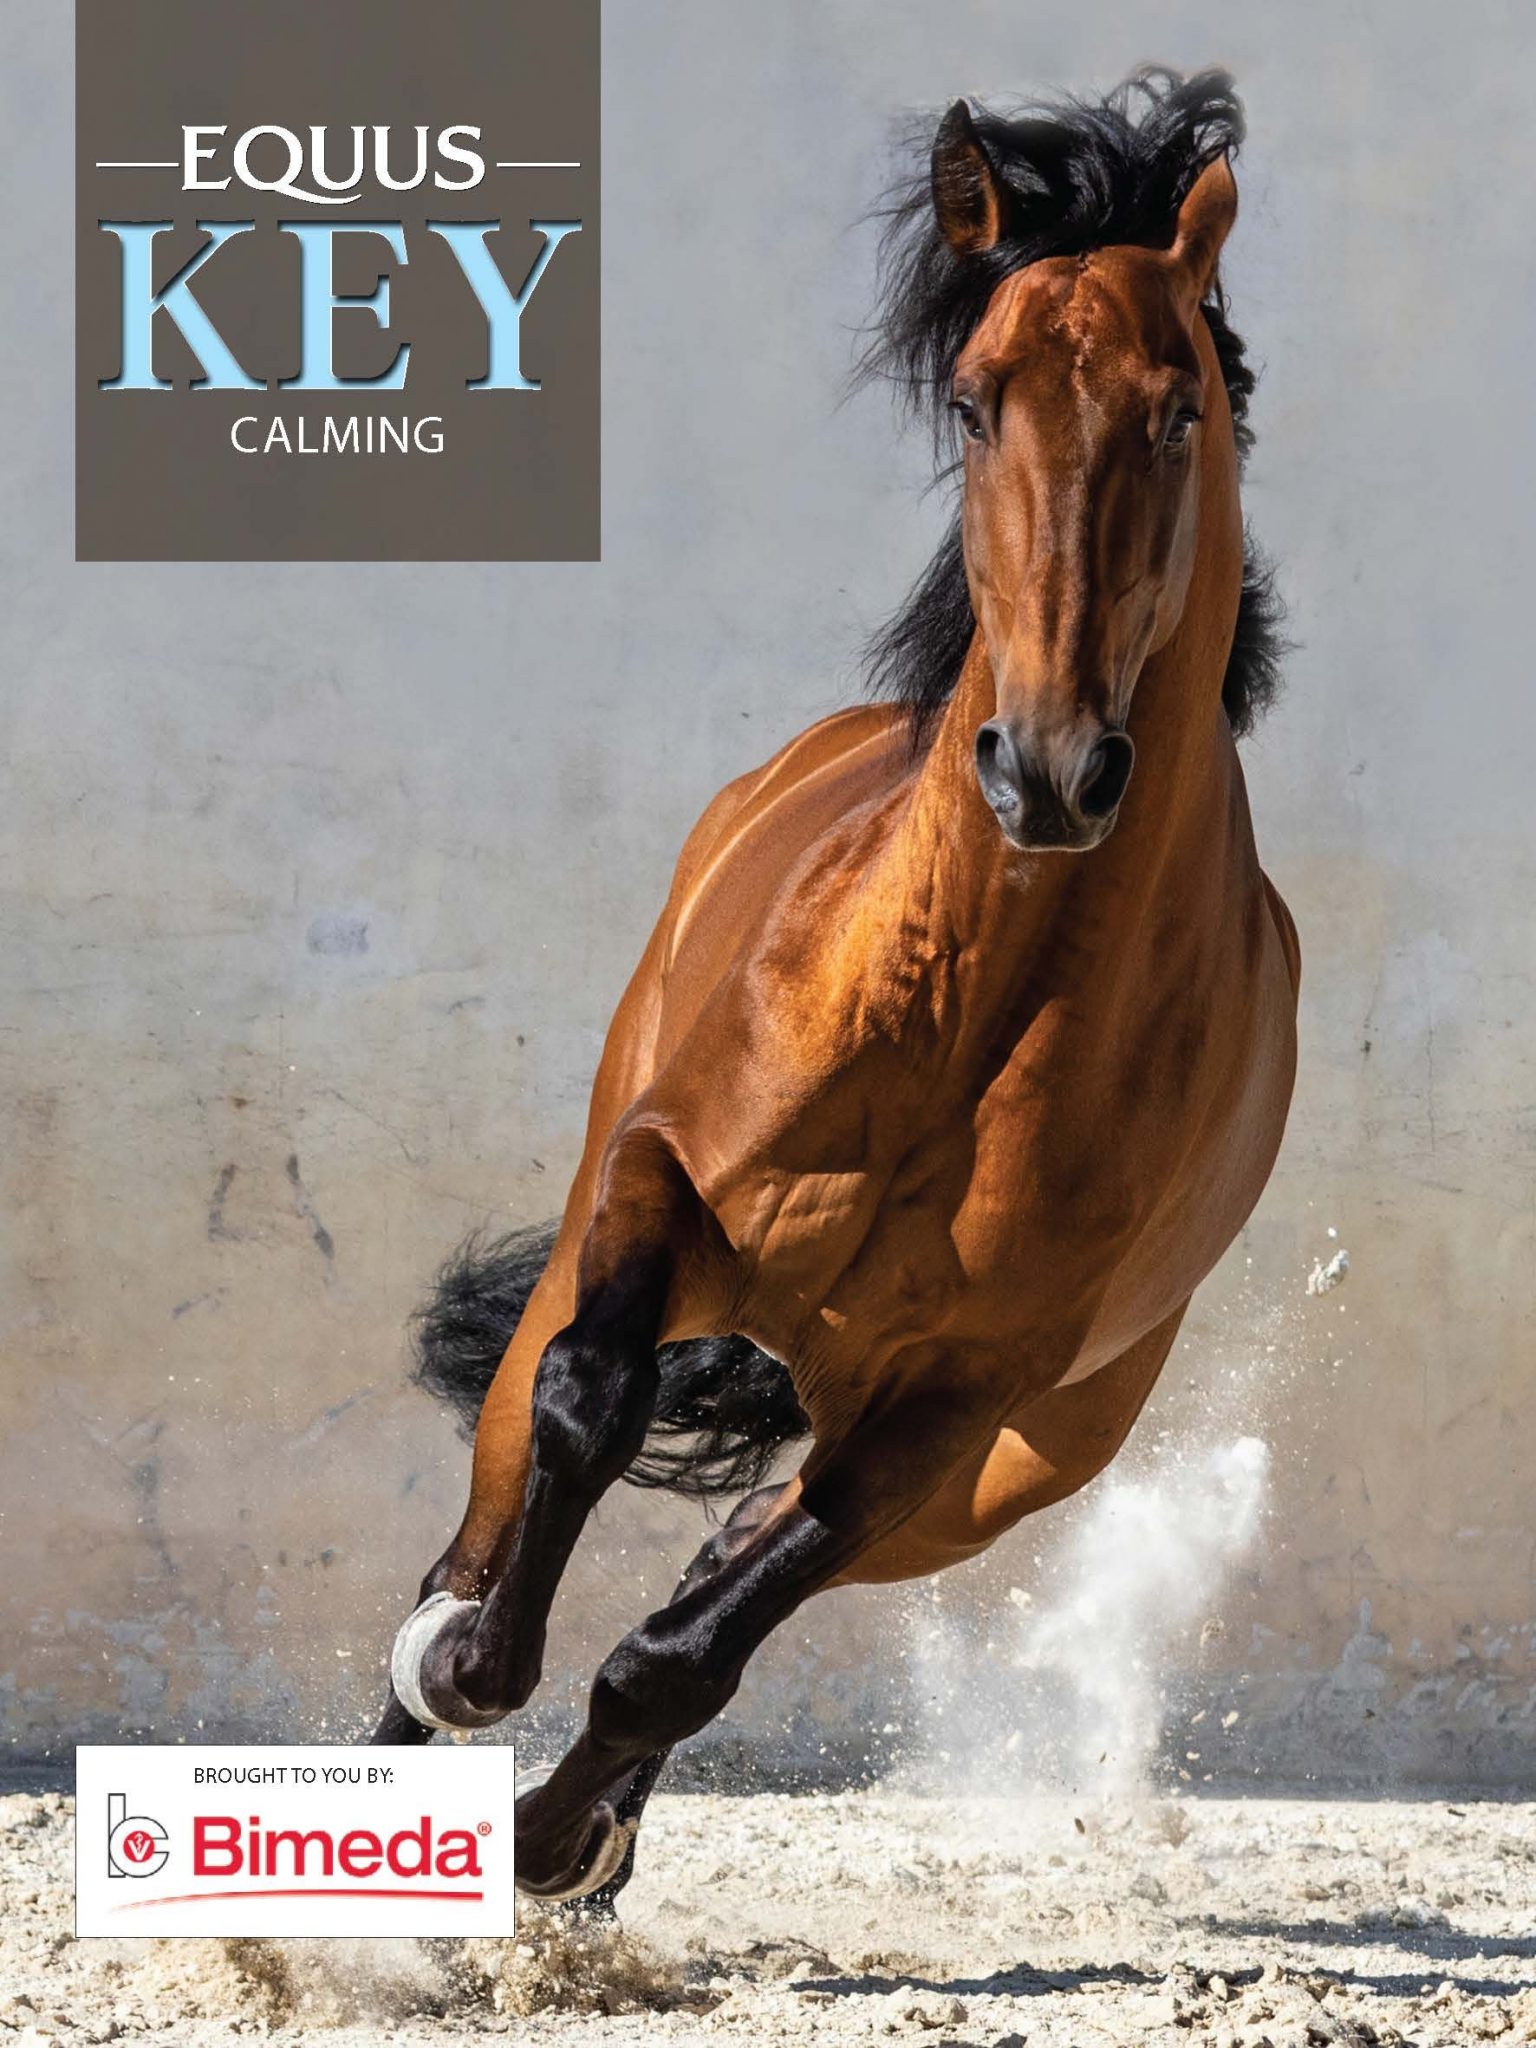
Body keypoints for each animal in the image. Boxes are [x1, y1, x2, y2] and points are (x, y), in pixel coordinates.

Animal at [373, 66, 1300, 1912]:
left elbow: (681, 1653)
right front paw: (472, 1677)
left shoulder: (956, 1403)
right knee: (493, 1508)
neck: (970, 1004)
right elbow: (581, 1415)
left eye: (1175, 411)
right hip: (616, 1268)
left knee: (725, 1573)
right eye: (975, 400)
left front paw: (560, 1843)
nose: (1050, 768)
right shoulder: (654, 1182)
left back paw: (580, 1848)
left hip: (989, 1478)